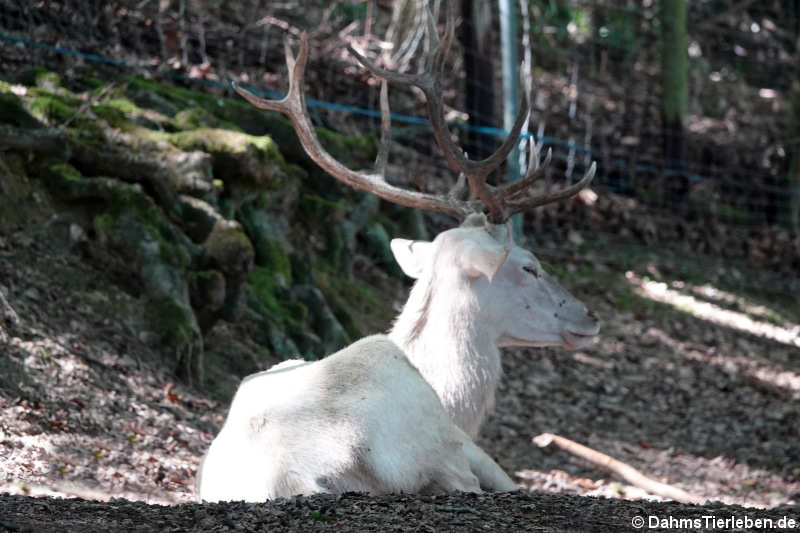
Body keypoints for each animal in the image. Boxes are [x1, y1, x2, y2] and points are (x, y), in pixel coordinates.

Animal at [195, 4, 600, 500]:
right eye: (530, 266)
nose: (590, 316)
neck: (448, 395)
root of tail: (286, 480)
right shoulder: (466, 449)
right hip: (439, 451)